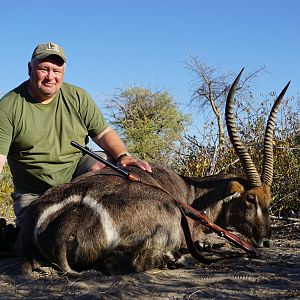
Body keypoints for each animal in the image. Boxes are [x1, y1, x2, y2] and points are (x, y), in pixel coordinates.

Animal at [15, 69, 288, 276]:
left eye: (269, 198)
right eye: (250, 198)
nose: (266, 240)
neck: (192, 191)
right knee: (118, 263)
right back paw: (175, 258)